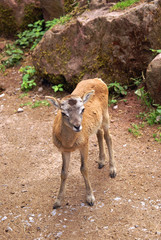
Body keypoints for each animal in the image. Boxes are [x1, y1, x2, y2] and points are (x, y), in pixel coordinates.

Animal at [46, 78, 116, 208]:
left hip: (106, 114)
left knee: (108, 137)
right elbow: (63, 172)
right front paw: (57, 202)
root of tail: (99, 79)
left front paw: (90, 198)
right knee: (99, 133)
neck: (69, 143)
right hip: (97, 122)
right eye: (63, 113)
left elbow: (83, 168)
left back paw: (112, 170)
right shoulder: (63, 150)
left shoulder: (84, 143)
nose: (77, 126)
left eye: (82, 109)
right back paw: (101, 161)